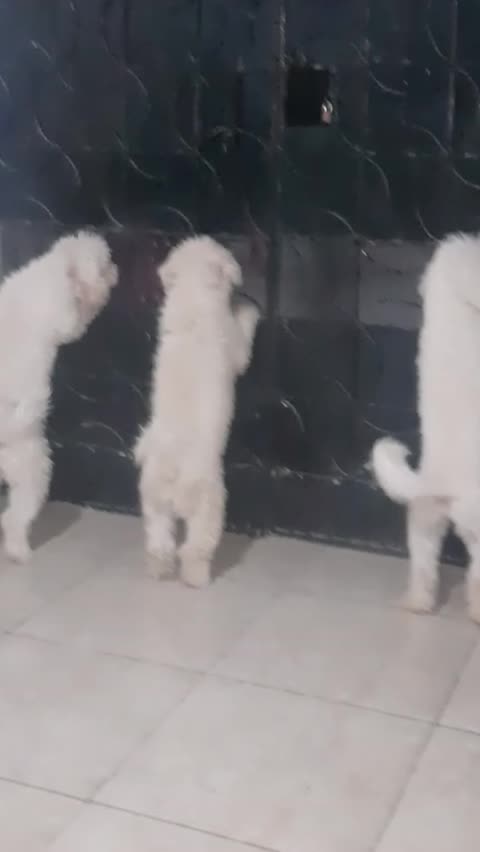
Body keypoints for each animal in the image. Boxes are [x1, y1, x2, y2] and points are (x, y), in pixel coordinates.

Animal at [0, 231, 118, 562]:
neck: (55, 268)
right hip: (34, 469)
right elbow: (78, 319)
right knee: (15, 517)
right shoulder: (64, 318)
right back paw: (19, 550)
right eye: (104, 265)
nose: (115, 270)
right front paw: (94, 296)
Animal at [135, 236, 260, 588]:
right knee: (194, 548)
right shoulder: (235, 344)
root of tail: (172, 471)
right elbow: (243, 338)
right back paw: (197, 578)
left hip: (154, 504)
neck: (192, 298)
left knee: (160, 542)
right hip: (209, 503)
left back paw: (158, 570)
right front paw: (249, 308)